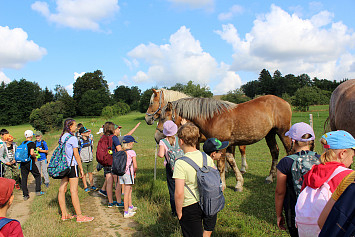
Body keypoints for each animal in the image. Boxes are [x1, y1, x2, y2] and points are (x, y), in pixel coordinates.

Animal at [157, 94, 294, 191]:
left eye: (163, 118)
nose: (157, 137)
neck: (213, 117)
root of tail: (285, 102)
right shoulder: (227, 144)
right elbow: (231, 160)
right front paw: (239, 183)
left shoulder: (221, 144)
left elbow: (221, 165)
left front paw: (222, 185)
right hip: (270, 134)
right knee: (274, 152)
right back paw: (270, 177)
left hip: (283, 133)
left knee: (289, 151)